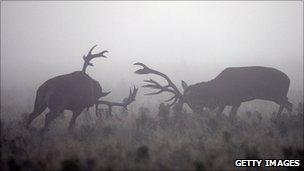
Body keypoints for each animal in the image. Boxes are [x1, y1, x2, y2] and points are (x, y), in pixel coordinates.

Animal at [135, 63, 292, 119]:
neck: (214, 92)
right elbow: (223, 116)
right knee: (289, 104)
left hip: (277, 94)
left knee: (287, 104)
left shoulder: (234, 101)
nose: (198, 112)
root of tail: (289, 79)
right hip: (279, 95)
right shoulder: (229, 102)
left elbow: (225, 117)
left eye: (189, 101)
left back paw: (279, 119)